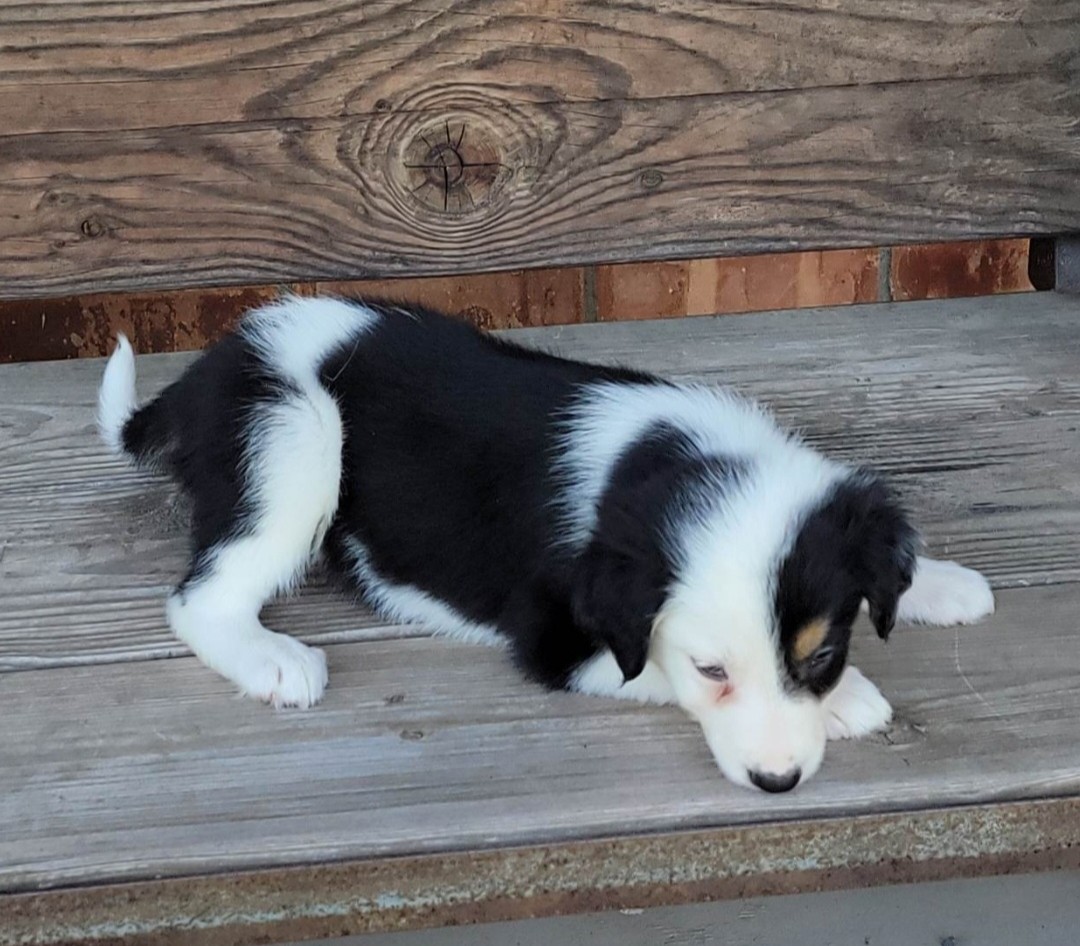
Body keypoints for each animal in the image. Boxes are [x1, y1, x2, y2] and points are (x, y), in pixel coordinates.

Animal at [97, 295, 989, 790]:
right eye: (711, 671)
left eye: (819, 652)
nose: (778, 782)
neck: (674, 460)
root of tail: (208, 368)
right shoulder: (560, 642)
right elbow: (651, 670)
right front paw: (853, 701)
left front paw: (936, 582)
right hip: (294, 433)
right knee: (199, 598)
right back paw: (269, 659)